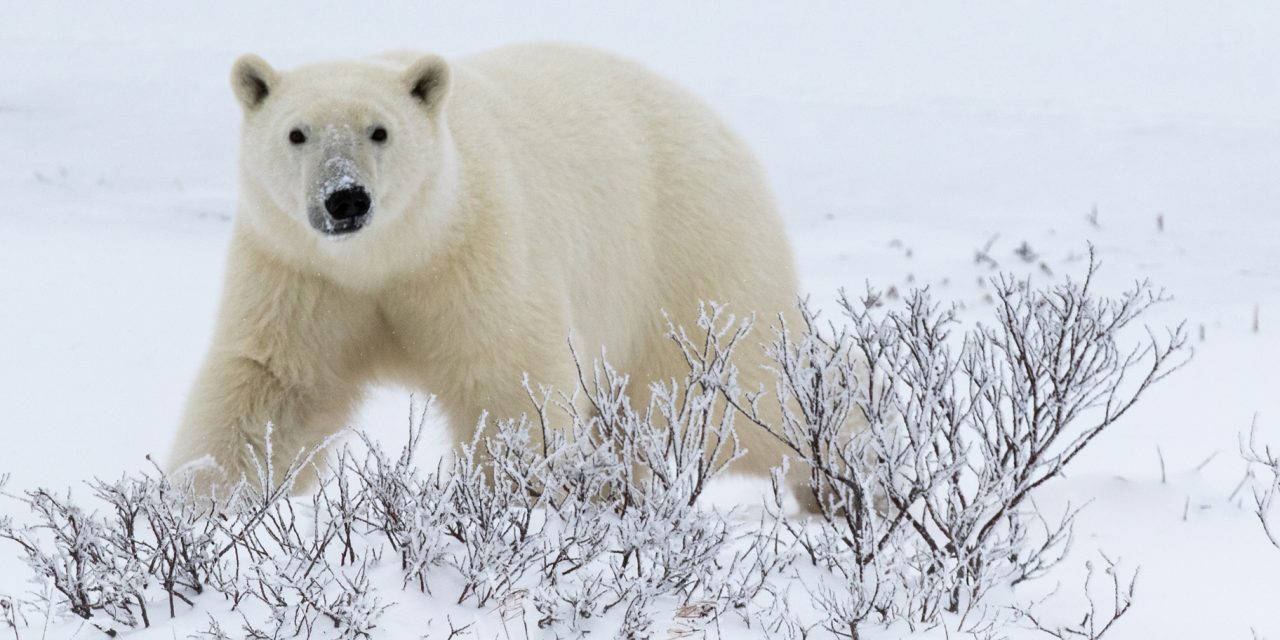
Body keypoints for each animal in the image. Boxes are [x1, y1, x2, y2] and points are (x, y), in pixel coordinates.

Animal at [167, 43, 810, 507]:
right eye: (296, 133)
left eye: (380, 130)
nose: (345, 198)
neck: (391, 255)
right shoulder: (302, 274)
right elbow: (274, 386)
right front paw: (197, 502)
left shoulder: (475, 254)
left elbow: (507, 379)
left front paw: (516, 502)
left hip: (687, 258)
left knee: (745, 393)